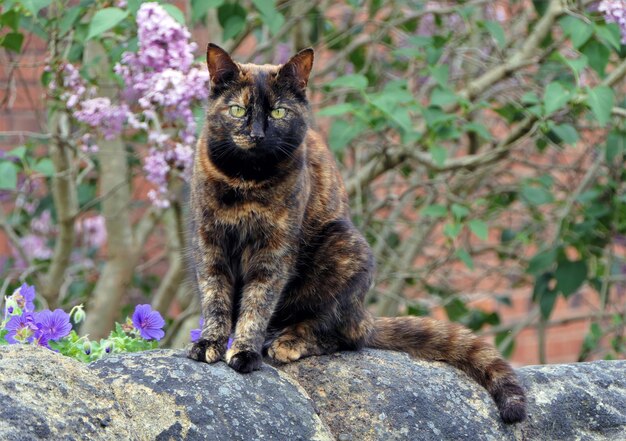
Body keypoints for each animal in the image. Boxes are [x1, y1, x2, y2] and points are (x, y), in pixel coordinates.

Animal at [186, 43, 528, 422]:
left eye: (278, 112)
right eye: (237, 109)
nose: (257, 134)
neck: (245, 181)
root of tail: (365, 314)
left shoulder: (274, 249)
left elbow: (257, 302)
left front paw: (245, 351)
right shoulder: (209, 241)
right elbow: (215, 297)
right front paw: (209, 343)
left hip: (344, 246)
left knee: (341, 335)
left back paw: (286, 342)